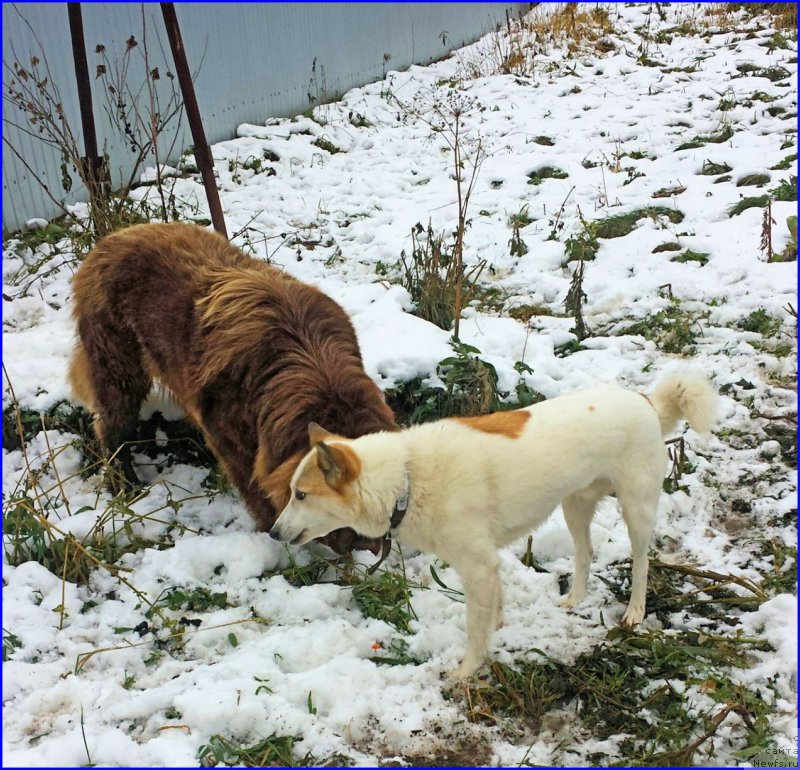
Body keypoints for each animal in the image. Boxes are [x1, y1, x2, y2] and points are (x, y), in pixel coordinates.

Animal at [69, 222, 396, 552]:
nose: (364, 550)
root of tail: (110, 240)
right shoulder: (231, 443)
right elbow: (255, 489)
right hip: (117, 364)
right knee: (112, 428)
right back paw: (126, 486)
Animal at [268, 372, 720, 680]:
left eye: (301, 495)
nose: (272, 533)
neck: (407, 479)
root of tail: (645, 401)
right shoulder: (486, 564)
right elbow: (493, 608)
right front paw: (497, 627)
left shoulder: (478, 566)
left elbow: (474, 629)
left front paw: (468, 669)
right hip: (574, 505)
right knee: (585, 553)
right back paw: (574, 598)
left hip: (636, 508)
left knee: (643, 560)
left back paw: (635, 612)